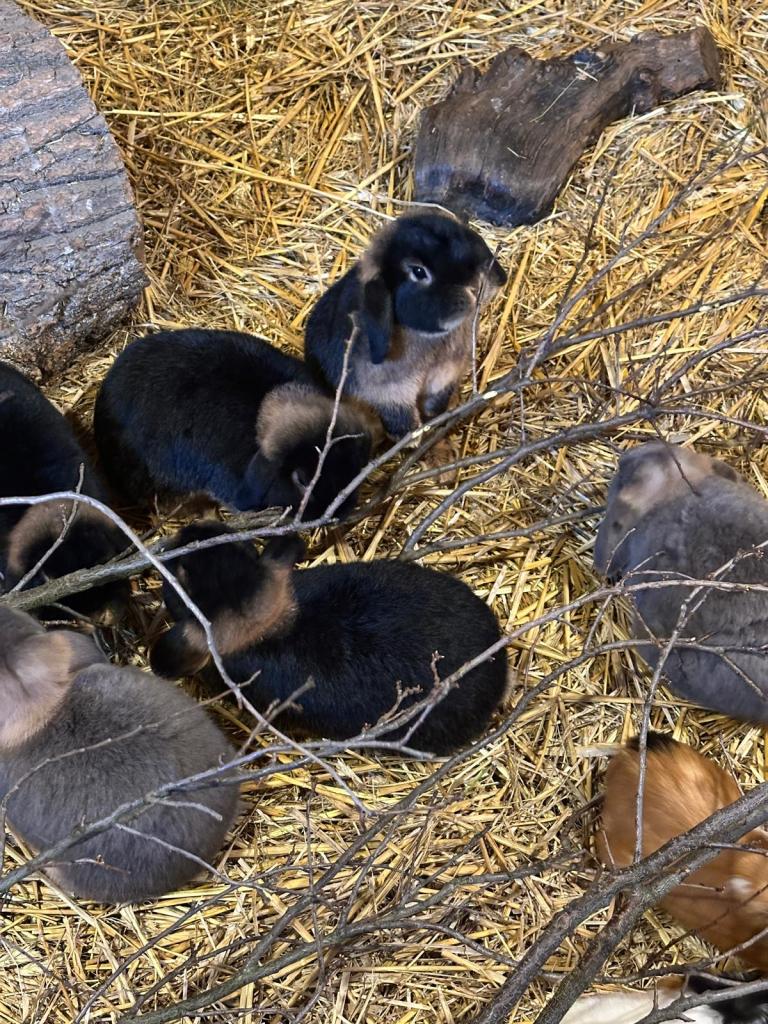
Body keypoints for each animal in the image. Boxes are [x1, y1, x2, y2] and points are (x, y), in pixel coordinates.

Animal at [304, 212, 507, 440]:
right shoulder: (391, 395)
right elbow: (402, 419)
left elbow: (434, 404)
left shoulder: (444, 377)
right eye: (418, 271)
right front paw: (412, 438)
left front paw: (435, 418)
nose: (477, 285)